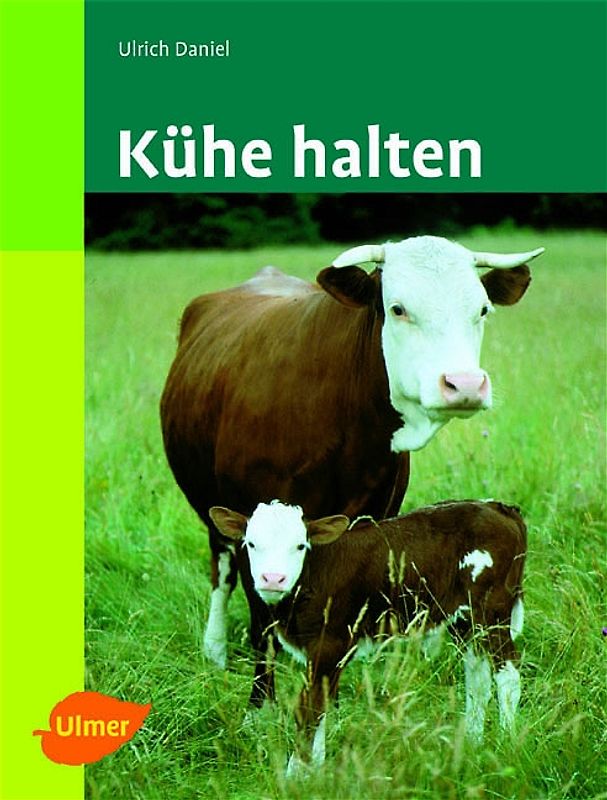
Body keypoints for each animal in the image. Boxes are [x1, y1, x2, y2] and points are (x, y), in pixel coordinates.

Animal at [160, 235, 543, 700]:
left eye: (482, 310)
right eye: (398, 308)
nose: (465, 385)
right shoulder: (249, 526)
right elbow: (260, 627)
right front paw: (260, 703)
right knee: (222, 571)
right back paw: (214, 648)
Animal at [210, 499, 527, 774]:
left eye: (300, 545)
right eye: (251, 544)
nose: (273, 579)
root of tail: (498, 508)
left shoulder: (329, 643)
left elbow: (309, 709)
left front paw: (296, 777)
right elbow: (322, 706)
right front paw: (317, 770)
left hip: (492, 610)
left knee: (507, 674)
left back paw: (506, 743)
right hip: (463, 620)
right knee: (478, 678)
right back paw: (473, 742)